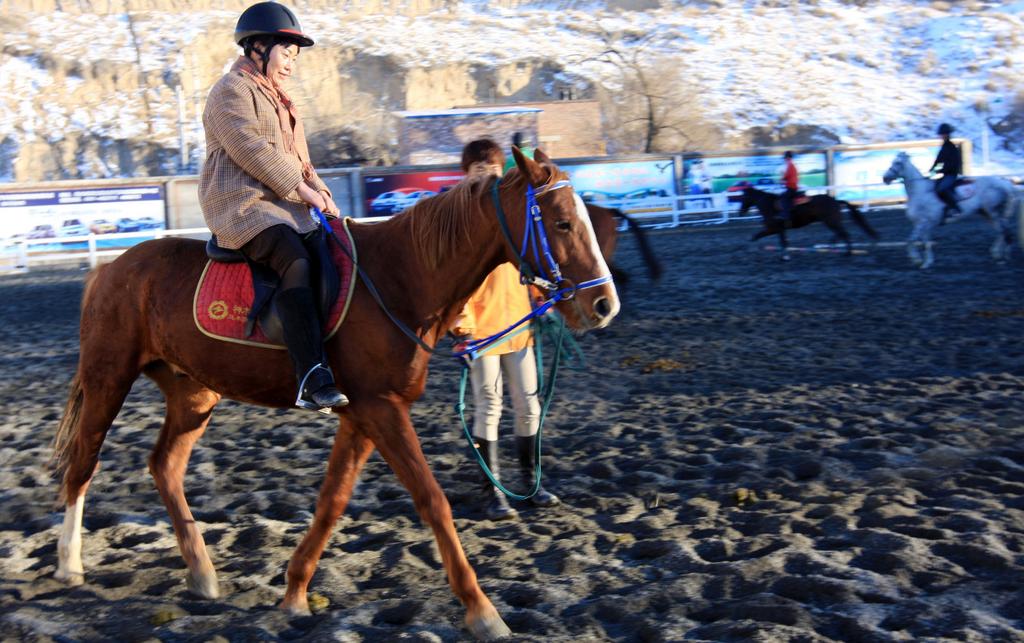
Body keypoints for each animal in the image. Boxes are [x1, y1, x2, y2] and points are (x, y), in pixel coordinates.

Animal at [51, 149, 618, 638]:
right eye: (562, 223)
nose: (604, 305)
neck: (399, 278)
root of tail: (111, 269)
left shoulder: (361, 414)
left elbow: (332, 501)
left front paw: (295, 593)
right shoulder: (381, 409)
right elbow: (432, 500)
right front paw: (482, 611)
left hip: (194, 395)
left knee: (165, 466)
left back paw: (202, 572)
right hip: (108, 378)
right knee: (83, 465)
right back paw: (69, 563)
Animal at [737, 186, 880, 259]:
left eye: (743, 197)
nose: (740, 212)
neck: (769, 206)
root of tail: (835, 200)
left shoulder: (773, 229)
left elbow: (759, 236)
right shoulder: (779, 230)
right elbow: (780, 241)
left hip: (831, 221)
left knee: (843, 233)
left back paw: (846, 252)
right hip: (831, 221)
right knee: (840, 233)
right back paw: (833, 247)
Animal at [884, 151, 1019, 268]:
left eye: (898, 163)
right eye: (892, 162)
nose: (885, 178)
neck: (920, 191)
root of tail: (1003, 182)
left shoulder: (924, 222)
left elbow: (911, 240)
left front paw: (917, 260)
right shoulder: (922, 224)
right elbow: (925, 242)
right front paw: (927, 262)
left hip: (994, 212)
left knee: (1004, 231)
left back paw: (1004, 258)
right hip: (987, 213)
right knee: (1001, 231)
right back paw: (997, 254)